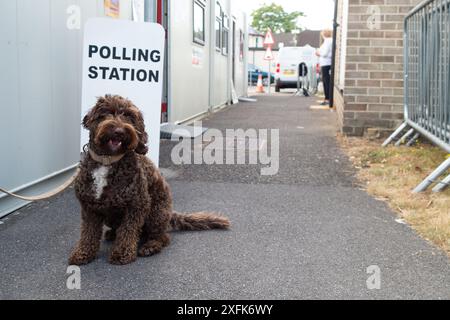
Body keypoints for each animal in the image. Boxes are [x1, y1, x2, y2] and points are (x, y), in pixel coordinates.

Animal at [68, 94, 230, 264]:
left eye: (129, 116)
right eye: (106, 112)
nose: (119, 131)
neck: (108, 161)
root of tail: (170, 213)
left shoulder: (137, 204)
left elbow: (129, 229)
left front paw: (123, 253)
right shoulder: (90, 207)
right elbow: (88, 232)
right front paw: (83, 253)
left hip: (156, 213)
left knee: (162, 237)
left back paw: (150, 246)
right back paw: (112, 234)